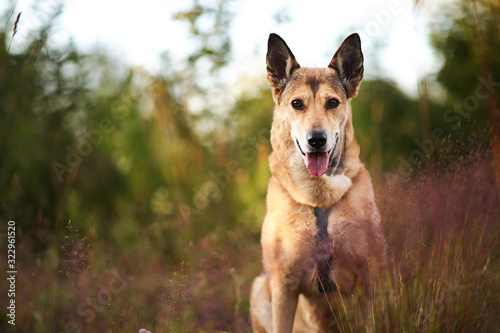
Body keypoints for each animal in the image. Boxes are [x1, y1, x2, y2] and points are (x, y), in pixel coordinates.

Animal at [250, 34, 386, 332]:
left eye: (332, 103)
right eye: (297, 104)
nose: (316, 140)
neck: (318, 197)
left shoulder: (368, 279)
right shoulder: (283, 285)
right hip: (259, 287)